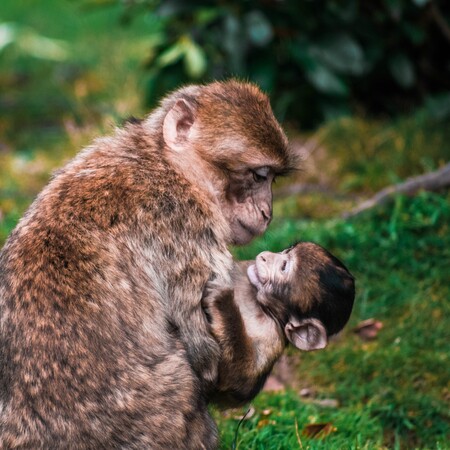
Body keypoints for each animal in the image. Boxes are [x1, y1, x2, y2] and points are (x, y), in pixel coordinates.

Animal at [0, 79, 298, 448]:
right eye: (258, 176)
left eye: (272, 179)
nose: (267, 213)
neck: (164, 163)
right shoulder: (187, 230)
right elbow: (211, 365)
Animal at [204, 243, 356, 408]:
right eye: (285, 251)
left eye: (284, 267)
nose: (266, 255)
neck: (261, 306)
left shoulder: (272, 335)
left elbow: (238, 387)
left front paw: (222, 301)